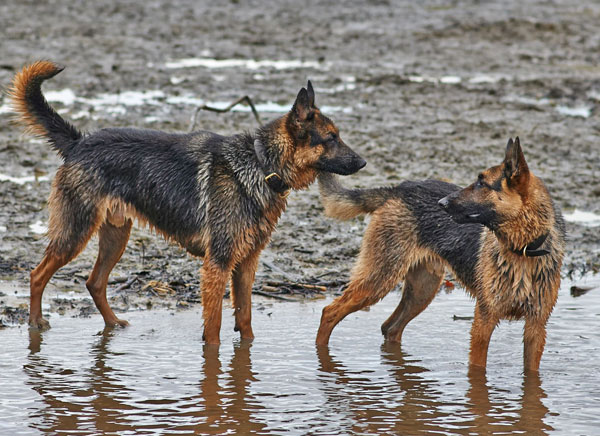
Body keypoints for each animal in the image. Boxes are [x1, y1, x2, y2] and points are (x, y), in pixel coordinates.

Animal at [9, 59, 366, 344]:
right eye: (331, 138)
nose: (363, 162)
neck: (262, 164)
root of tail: (79, 143)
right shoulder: (217, 265)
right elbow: (214, 327)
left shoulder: (246, 265)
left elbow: (245, 318)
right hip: (76, 232)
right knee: (37, 275)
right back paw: (35, 323)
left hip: (115, 236)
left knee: (94, 282)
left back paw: (113, 325)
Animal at [316, 139, 564, 372]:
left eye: (482, 183)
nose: (441, 203)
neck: (523, 251)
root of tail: (397, 188)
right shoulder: (483, 322)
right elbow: (477, 373)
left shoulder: (535, 329)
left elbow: (531, 375)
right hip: (380, 281)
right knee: (329, 311)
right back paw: (322, 359)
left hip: (422, 290)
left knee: (390, 328)